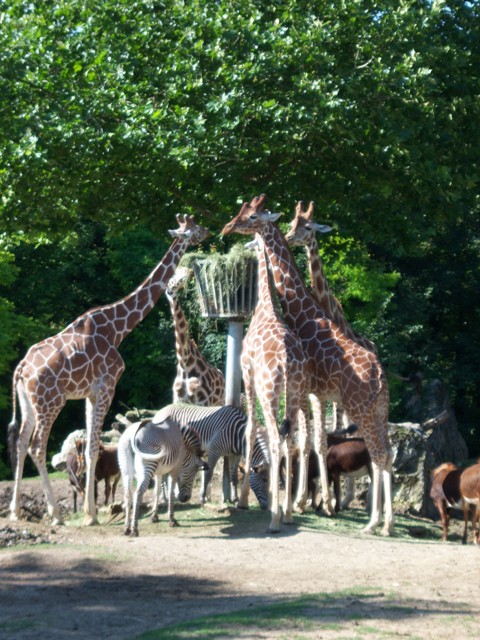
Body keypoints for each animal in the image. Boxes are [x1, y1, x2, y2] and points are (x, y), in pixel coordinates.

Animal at [7, 215, 210, 524]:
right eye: (194, 228)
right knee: (36, 446)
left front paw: (90, 512)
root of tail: (21, 370)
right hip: (50, 402)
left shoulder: (90, 393)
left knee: (19, 443)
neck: (118, 329)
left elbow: (92, 449)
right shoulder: (107, 387)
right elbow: (92, 447)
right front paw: (92, 515)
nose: (209, 231)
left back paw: (15, 511)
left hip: (28, 403)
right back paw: (55, 514)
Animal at [165, 268, 225, 408]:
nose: (190, 271)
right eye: (174, 273)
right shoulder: (178, 401)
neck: (185, 363)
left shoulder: (203, 403)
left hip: (220, 402)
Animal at [221, 195, 394, 536]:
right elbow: (305, 440)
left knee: (377, 454)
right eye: (290, 223)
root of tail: (381, 375)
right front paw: (305, 502)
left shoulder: (311, 392)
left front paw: (307, 503)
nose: (227, 227)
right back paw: (383, 522)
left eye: (250, 216)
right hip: (378, 410)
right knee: (387, 452)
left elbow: (308, 440)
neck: (304, 314)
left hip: (357, 407)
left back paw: (371, 523)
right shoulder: (311, 393)